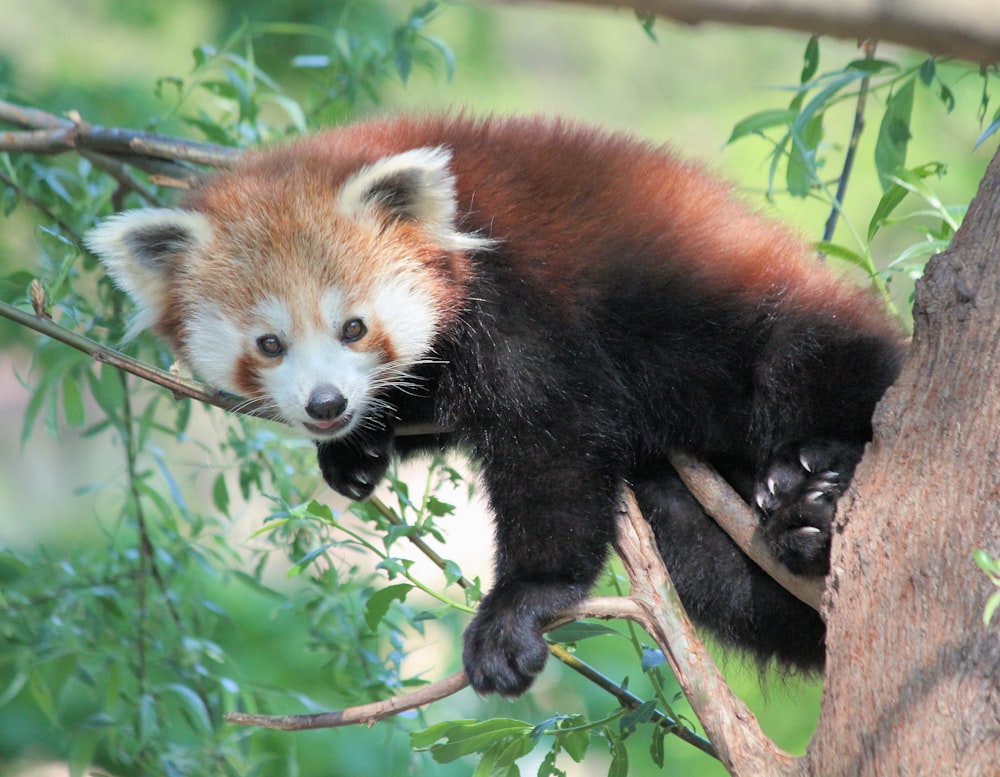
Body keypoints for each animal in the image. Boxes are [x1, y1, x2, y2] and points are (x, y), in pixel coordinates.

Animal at [84, 115, 908, 696]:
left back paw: (818, 480)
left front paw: (522, 598)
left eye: (353, 327)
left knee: (813, 364)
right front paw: (357, 450)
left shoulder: (525, 301)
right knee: (706, 556)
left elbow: (555, 443)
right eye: (269, 344)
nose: (326, 404)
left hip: (776, 323)